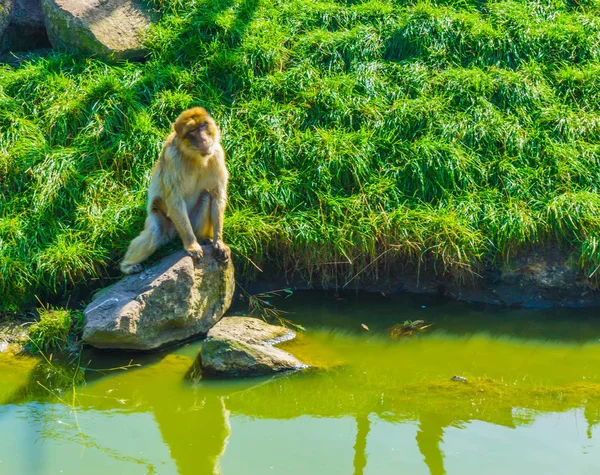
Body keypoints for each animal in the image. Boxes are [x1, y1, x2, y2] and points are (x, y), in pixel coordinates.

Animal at [119, 105, 230, 274]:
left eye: (202, 126)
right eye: (192, 131)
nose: (204, 139)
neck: (196, 158)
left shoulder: (217, 154)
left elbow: (217, 195)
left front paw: (219, 242)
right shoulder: (173, 159)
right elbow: (174, 200)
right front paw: (192, 245)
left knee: (206, 196)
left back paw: (202, 238)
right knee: (155, 232)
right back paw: (127, 266)